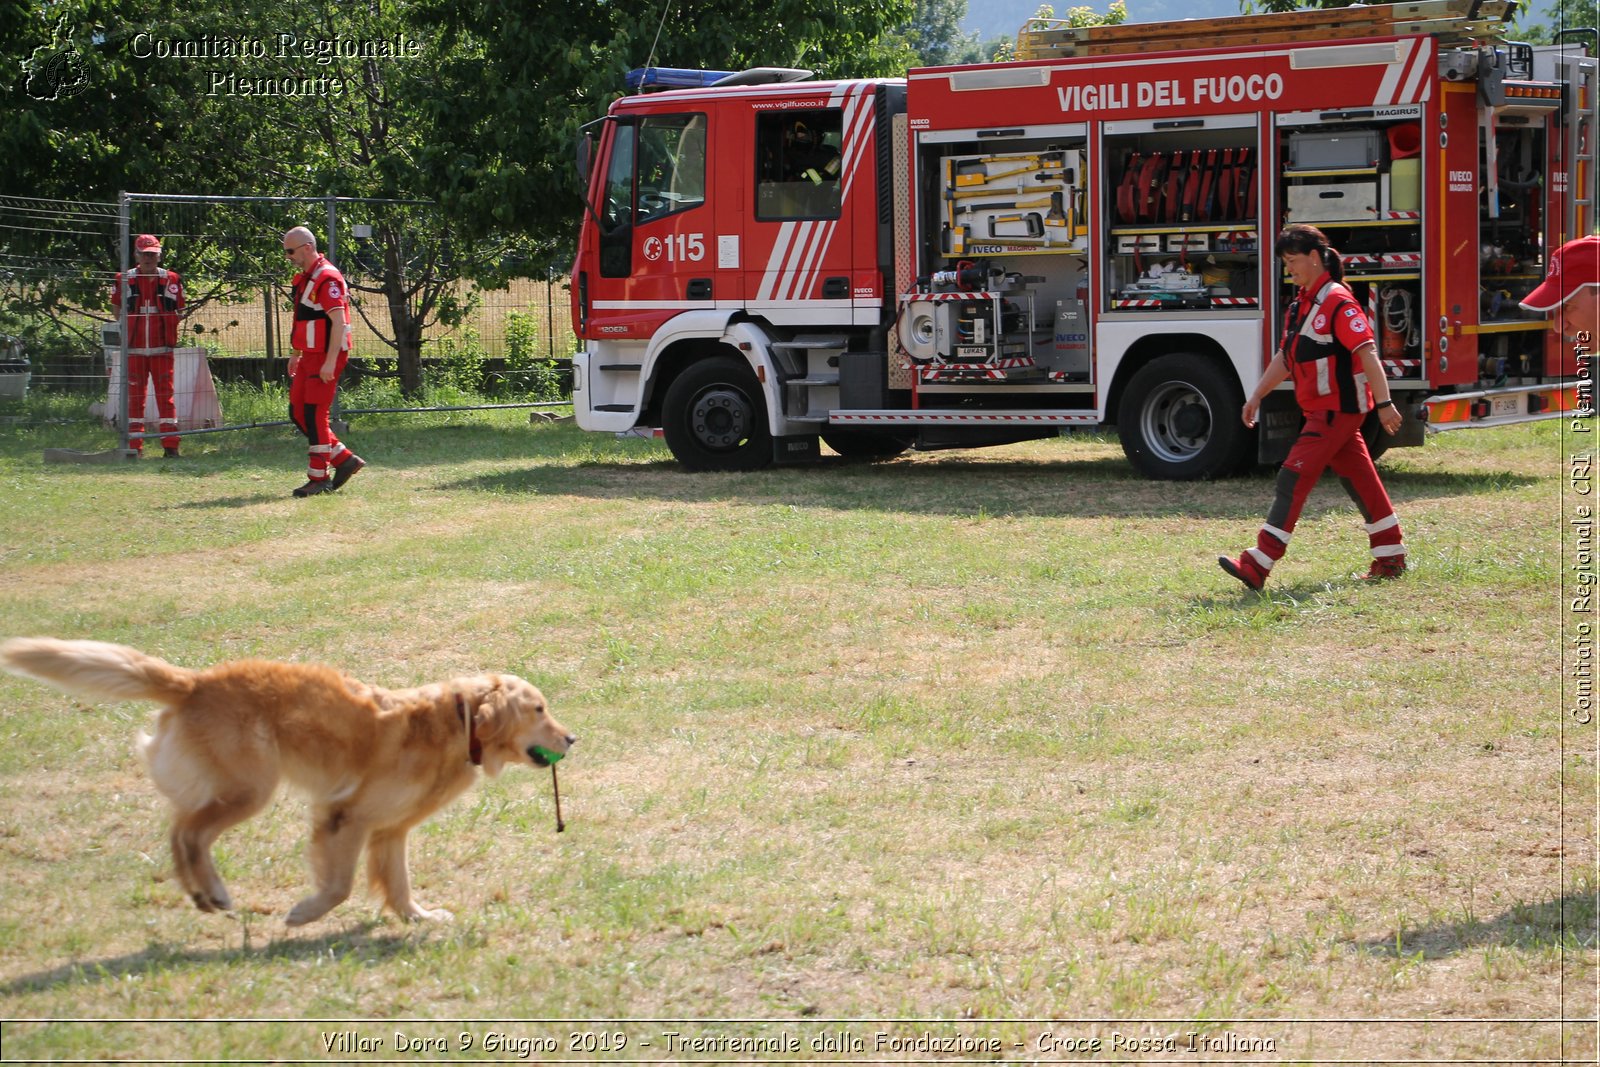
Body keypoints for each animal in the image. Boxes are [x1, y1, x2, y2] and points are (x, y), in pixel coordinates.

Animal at [0, 633, 576, 927]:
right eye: (540, 709)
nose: (573, 738)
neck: (457, 723)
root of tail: (194, 682)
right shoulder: (346, 816)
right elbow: (340, 885)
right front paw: (304, 914)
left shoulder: (390, 830)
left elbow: (398, 882)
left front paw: (418, 916)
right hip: (251, 788)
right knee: (189, 832)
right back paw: (214, 892)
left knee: (178, 828)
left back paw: (201, 895)